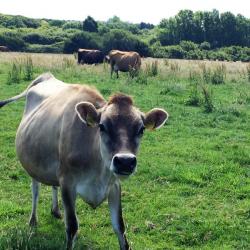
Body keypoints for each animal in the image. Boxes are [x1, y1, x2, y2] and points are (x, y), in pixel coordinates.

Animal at [0, 71, 169, 249]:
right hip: (33, 163)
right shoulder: (67, 183)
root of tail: (47, 76)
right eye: (102, 126)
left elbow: (120, 228)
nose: (125, 161)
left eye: (141, 129)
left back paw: (56, 210)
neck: (98, 174)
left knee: (53, 184)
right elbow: (72, 227)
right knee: (35, 189)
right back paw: (33, 220)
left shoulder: (114, 185)